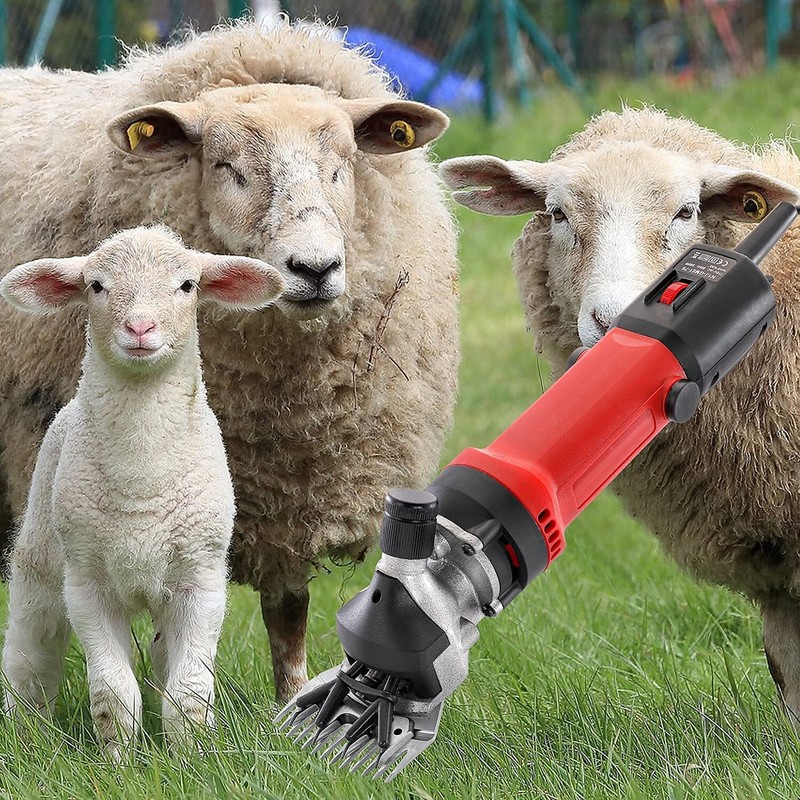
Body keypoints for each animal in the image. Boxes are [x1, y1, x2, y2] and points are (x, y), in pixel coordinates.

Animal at [0, 226, 285, 753]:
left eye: (187, 285)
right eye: (96, 286)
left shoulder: (201, 580)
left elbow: (188, 693)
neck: (142, 477)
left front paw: (190, 755)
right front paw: (118, 759)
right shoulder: (87, 584)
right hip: (41, 558)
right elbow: (113, 694)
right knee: (31, 649)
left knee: (162, 658)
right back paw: (26, 728)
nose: (139, 329)